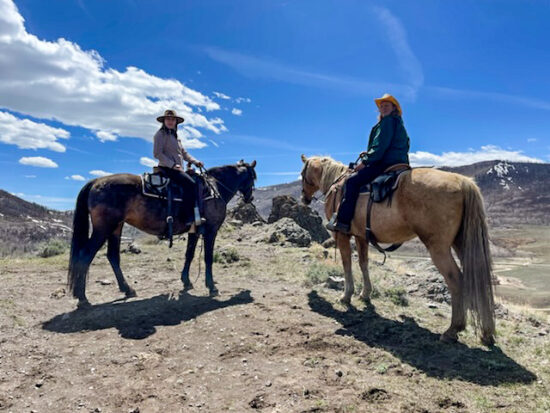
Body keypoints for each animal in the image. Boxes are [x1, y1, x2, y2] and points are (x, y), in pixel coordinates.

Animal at [68, 159, 258, 308]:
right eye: (253, 178)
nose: (250, 198)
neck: (215, 188)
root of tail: (96, 181)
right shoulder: (211, 230)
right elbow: (208, 258)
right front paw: (211, 287)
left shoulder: (194, 231)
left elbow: (189, 254)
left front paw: (186, 281)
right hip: (103, 229)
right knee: (85, 256)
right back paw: (82, 298)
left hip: (116, 227)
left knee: (113, 256)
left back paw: (127, 289)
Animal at [300, 154, 498, 344]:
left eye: (302, 174)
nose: (304, 198)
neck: (336, 185)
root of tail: (463, 182)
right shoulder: (361, 236)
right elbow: (364, 263)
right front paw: (365, 294)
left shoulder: (342, 235)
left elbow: (346, 263)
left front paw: (346, 296)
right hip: (461, 243)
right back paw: (486, 333)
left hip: (438, 247)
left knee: (456, 280)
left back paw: (452, 330)